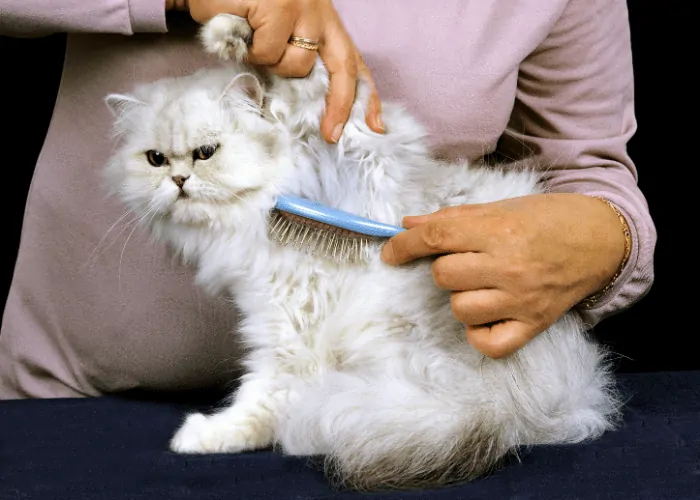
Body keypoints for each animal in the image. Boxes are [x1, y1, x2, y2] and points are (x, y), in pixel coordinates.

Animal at [102, 13, 616, 490]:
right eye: (155, 159)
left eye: (206, 152)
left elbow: (312, 83)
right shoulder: (274, 319)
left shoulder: (357, 149)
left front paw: (233, 33)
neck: (268, 202)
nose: (178, 180)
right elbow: (261, 399)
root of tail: (512, 406)